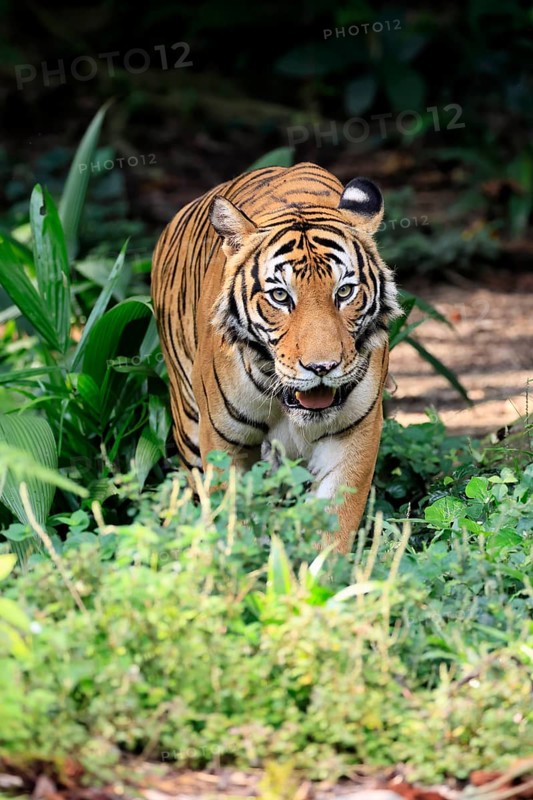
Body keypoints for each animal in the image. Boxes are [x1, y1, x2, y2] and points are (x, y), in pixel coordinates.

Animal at [151, 162, 401, 553]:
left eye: (344, 292)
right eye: (281, 296)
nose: (321, 367)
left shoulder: (352, 438)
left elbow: (332, 529)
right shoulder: (224, 444)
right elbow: (233, 519)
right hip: (187, 422)